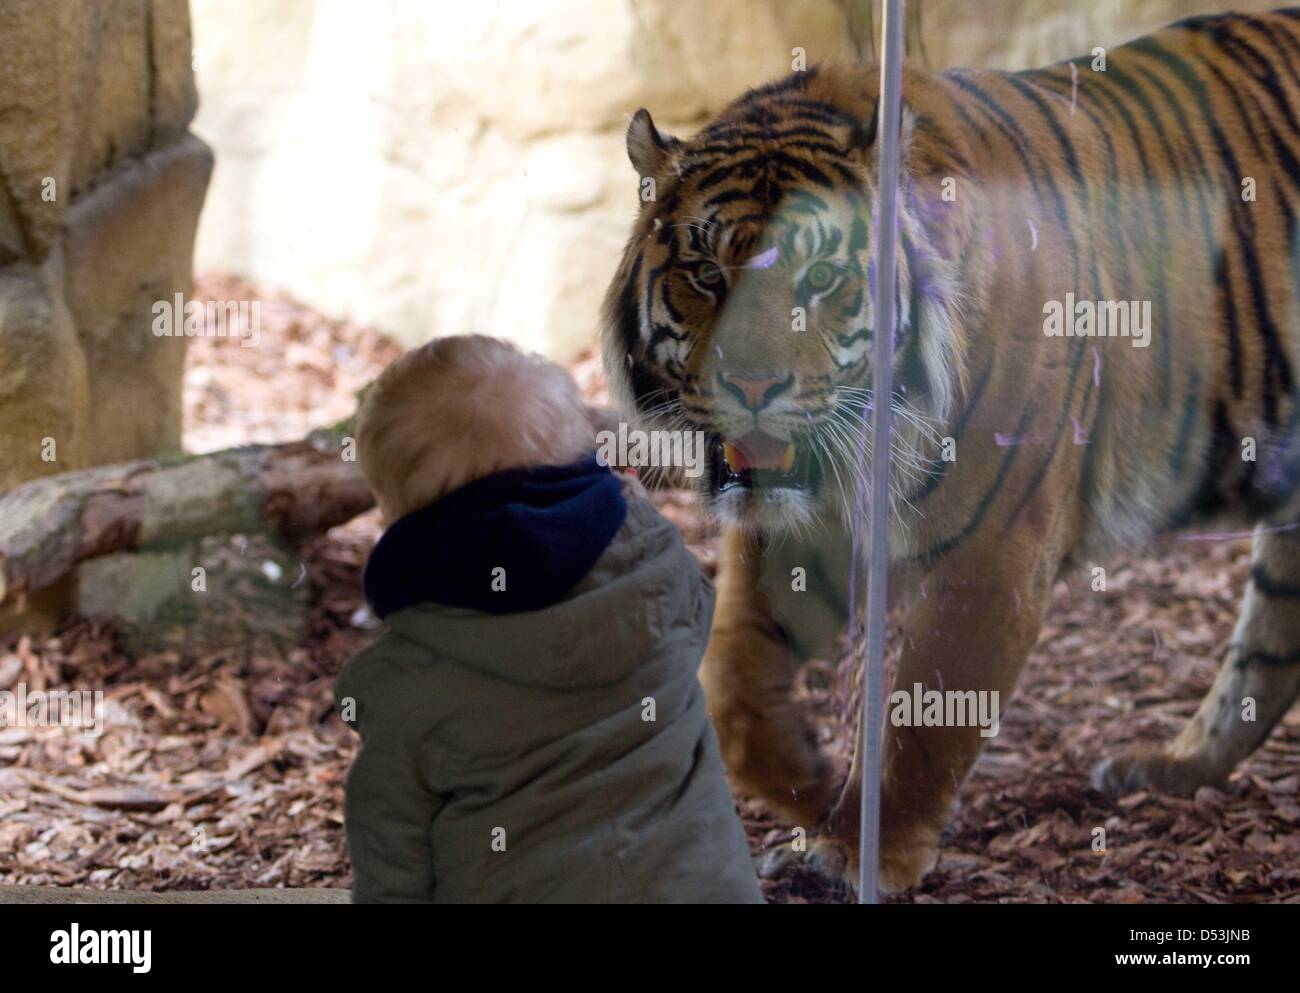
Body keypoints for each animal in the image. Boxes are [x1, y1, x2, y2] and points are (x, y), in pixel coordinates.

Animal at [603, 7, 1300, 894]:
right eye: (704, 272)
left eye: (821, 278)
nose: (752, 384)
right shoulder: (796, 533)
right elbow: (733, 690)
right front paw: (815, 793)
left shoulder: (996, 552)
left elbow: (931, 715)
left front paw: (863, 851)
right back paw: (1163, 769)